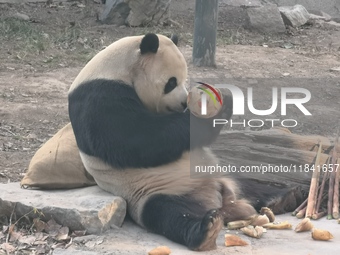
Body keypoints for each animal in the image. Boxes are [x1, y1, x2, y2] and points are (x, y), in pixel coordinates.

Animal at [67, 33, 304, 251]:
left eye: (185, 80)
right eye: (171, 82)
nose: (183, 103)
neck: (117, 69)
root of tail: (223, 203)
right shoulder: (100, 97)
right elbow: (139, 140)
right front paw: (218, 107)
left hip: (222, 175)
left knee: (252, 187)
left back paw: (285, 197)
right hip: (152, 192)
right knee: (169, 214)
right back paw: (205, 230)